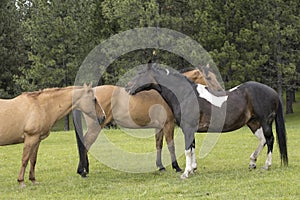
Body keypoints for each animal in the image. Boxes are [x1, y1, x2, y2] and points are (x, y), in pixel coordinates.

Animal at [73, 68, 223, 177]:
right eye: (209, 77)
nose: (220, 90)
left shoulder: (159, 127)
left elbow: (159, 145)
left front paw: (161, 166)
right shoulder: (168, 125)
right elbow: (171, 146)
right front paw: (176, 167)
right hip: (95, 127)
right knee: (86, 143)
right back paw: (83, 170)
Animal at [125, 65, 288, 179]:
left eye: (140, 74)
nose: (127, 86)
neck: (186, 94)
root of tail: (273, 92)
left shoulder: (188, 129)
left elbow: (187, 150)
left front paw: (185, 173)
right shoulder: (190, 130)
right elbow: (192, 148)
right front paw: (192, 170)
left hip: (265, 122)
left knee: (270, 139)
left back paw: (266, 165)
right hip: (253, 123)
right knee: (262, 140)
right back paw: (252, 162)